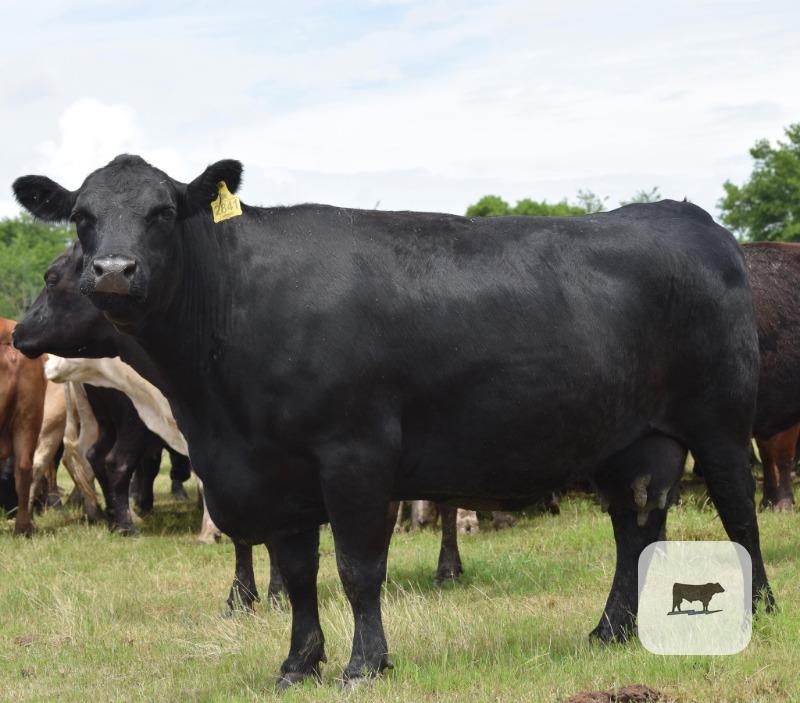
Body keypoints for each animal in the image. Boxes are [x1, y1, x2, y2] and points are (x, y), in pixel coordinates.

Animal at [13, 155, 773, 686]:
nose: (114, 270)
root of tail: (687, 217)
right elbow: (298, 572)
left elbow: (357, 568)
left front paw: (363, 664)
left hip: (721, 421)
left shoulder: (354, 454)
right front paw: (299, 663)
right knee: (636, 524)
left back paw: (755, 607)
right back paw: (611, 629)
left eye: (164, 211)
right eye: (81, 217)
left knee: (738, 511)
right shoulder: (272, 471)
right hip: (631, 440)